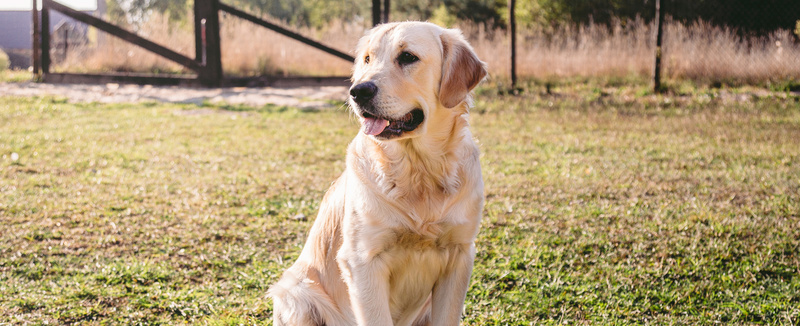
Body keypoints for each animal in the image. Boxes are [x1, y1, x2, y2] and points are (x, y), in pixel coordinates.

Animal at [268, 21, 488, 324]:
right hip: (295, 293)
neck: (418, 170)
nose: (357, 91)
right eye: (367, 59)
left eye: (407, 57)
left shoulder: (460, 254)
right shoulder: (363, 260)